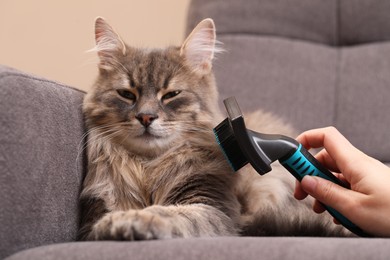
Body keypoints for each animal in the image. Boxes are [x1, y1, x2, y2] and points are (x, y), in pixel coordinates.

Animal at [78, 16, 350, 240]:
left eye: (171, 95)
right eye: (126, 94)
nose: (146, 117)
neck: (147, 167)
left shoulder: (212, 206)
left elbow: (172, 214)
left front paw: (128, 221)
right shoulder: (96, 208)